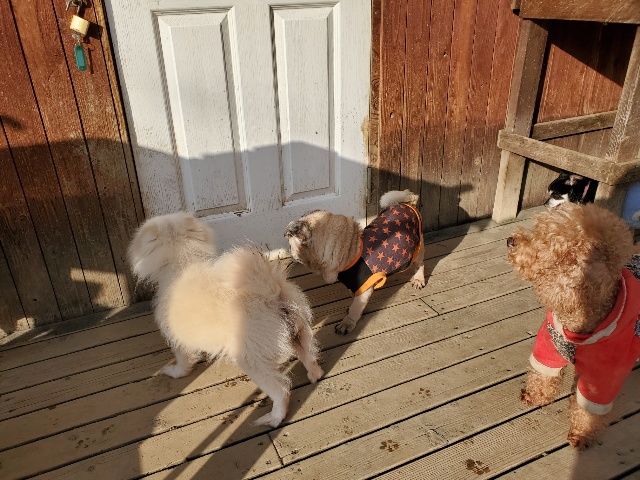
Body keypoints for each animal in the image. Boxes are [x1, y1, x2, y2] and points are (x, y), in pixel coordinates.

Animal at [128, 212, 324, 427]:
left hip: (251, 359)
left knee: (281, 390)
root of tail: (270, 293)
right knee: (310, 358)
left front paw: (174, 372)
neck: (181, 260)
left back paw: (273, 419)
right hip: (299, 332)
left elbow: (183, 361)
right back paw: (313, 376)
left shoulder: (178, 338)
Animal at [284, 190, 425, 335]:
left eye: (290, 243)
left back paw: (419, 279)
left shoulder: (364, 287)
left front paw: (347, 323)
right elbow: (355, 300)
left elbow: (355, 308)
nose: (288, 249)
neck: (350, 251)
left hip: (418, 249)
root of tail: (408, 203)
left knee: (420, 264)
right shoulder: (354, 286)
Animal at [507, 203, 640, 449]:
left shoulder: (603, 377)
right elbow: (543, 374)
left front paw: (582, 434)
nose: (510, 240)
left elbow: (589, 409)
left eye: (544, 243)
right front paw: (535, 396)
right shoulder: (549, 345)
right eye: (537, 229)